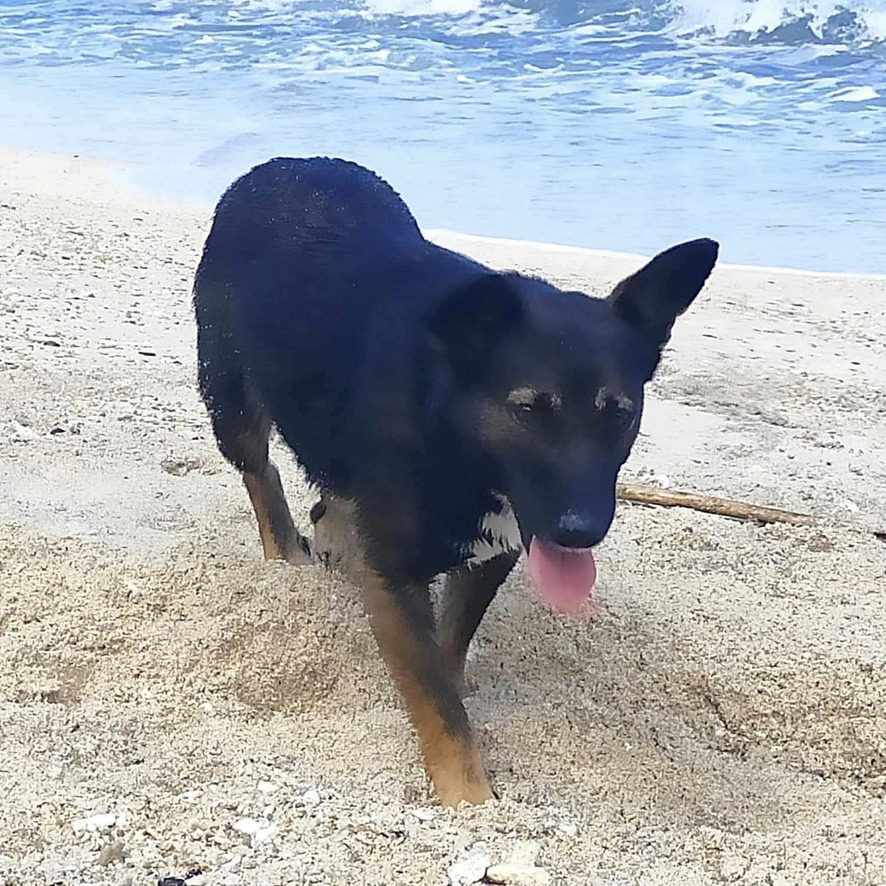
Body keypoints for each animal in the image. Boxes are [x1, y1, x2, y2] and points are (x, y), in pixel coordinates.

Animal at [194, 156, 720, 808]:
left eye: (618, 413)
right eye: (529, 410)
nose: (580, 532)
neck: (453, 437)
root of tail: (283, 164)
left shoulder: (493, 554)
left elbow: (447, 656)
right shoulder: (397, 575)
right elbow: (437, 699)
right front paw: (468, 798)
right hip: (231, 396)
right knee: (261, 472)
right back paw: (285, 554)